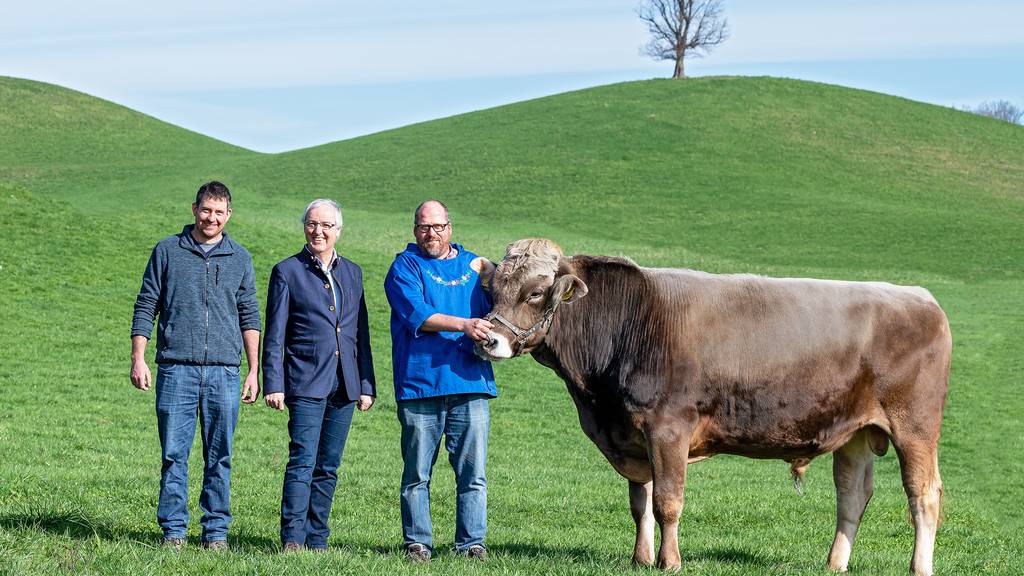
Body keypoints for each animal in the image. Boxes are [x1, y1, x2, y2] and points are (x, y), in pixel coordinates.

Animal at [475, 237, 946, 573]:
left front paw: (669, 562)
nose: (487, 339)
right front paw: (640, 558)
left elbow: (667, 500)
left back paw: (919, 567)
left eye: (536, 292)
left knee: (923, 495)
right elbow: (640, 501)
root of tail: (921, 298)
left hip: (914, 427)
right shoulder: (633, 434)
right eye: (492, 291)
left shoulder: (668, 427)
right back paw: (835, 565)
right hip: (855, 433)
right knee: (852, 495)